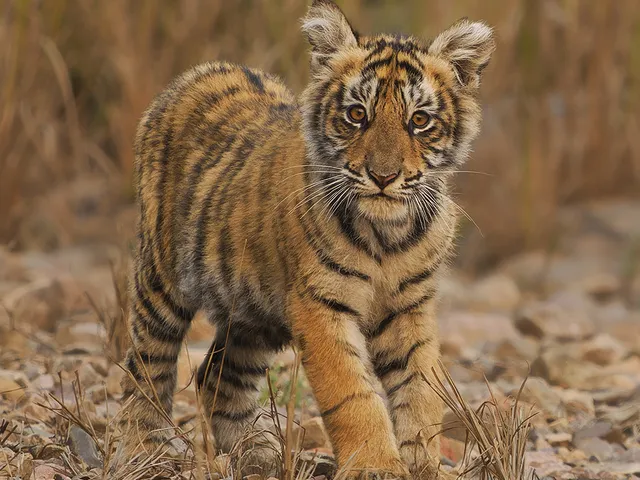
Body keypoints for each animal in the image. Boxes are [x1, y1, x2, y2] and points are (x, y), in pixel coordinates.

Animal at [116, 1, 495, 478]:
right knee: (147, 366)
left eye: (419, 121)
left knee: (217, 377)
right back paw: (142, 449)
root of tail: (199, 72)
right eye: (357, 115)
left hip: (253, 315)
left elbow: (421, 388)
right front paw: (375, 465)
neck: (388, 235)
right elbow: (351, 392)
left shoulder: (410, 306)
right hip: (163, 282)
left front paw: (423, 464)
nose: (384, 176)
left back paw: (256, 456)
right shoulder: (319, 305)